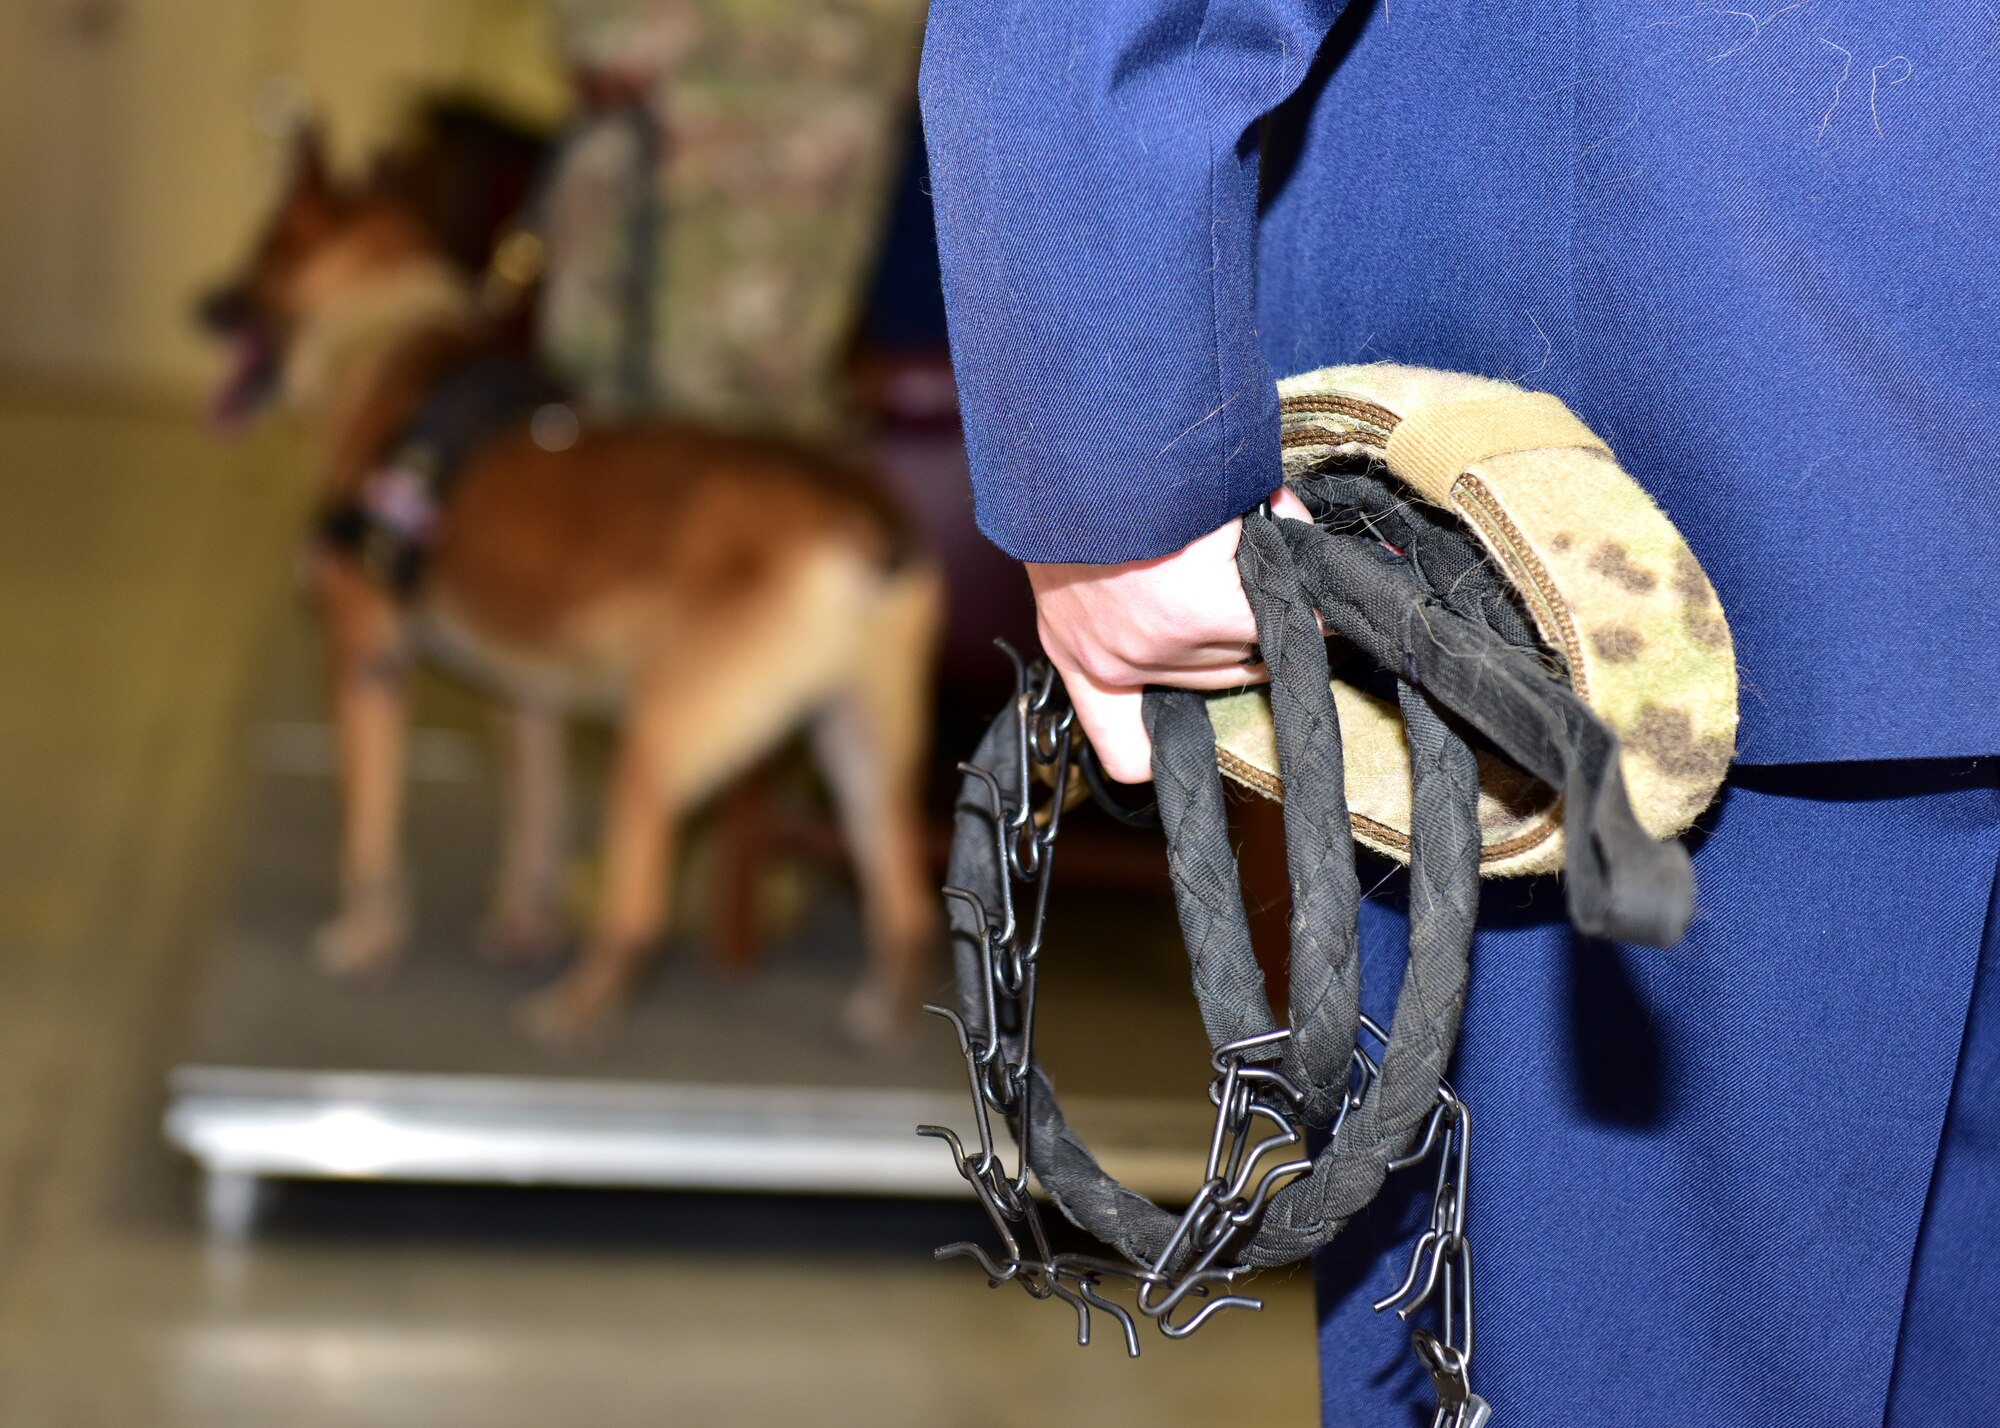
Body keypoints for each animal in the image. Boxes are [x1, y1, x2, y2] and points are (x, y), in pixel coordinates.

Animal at [203, 131, 944, 1048]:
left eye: (263, 253)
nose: (199, 305)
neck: (379, 335)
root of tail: (847, 507)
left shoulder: (366, 664)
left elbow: (369, 832)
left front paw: (369, 941)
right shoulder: (524, 697)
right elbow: (537, 825)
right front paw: (523, 926)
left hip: (657, 741)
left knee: (642, 912)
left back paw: (578, 1008)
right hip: (862, 747)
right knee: (903, 899)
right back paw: (886, 1018)